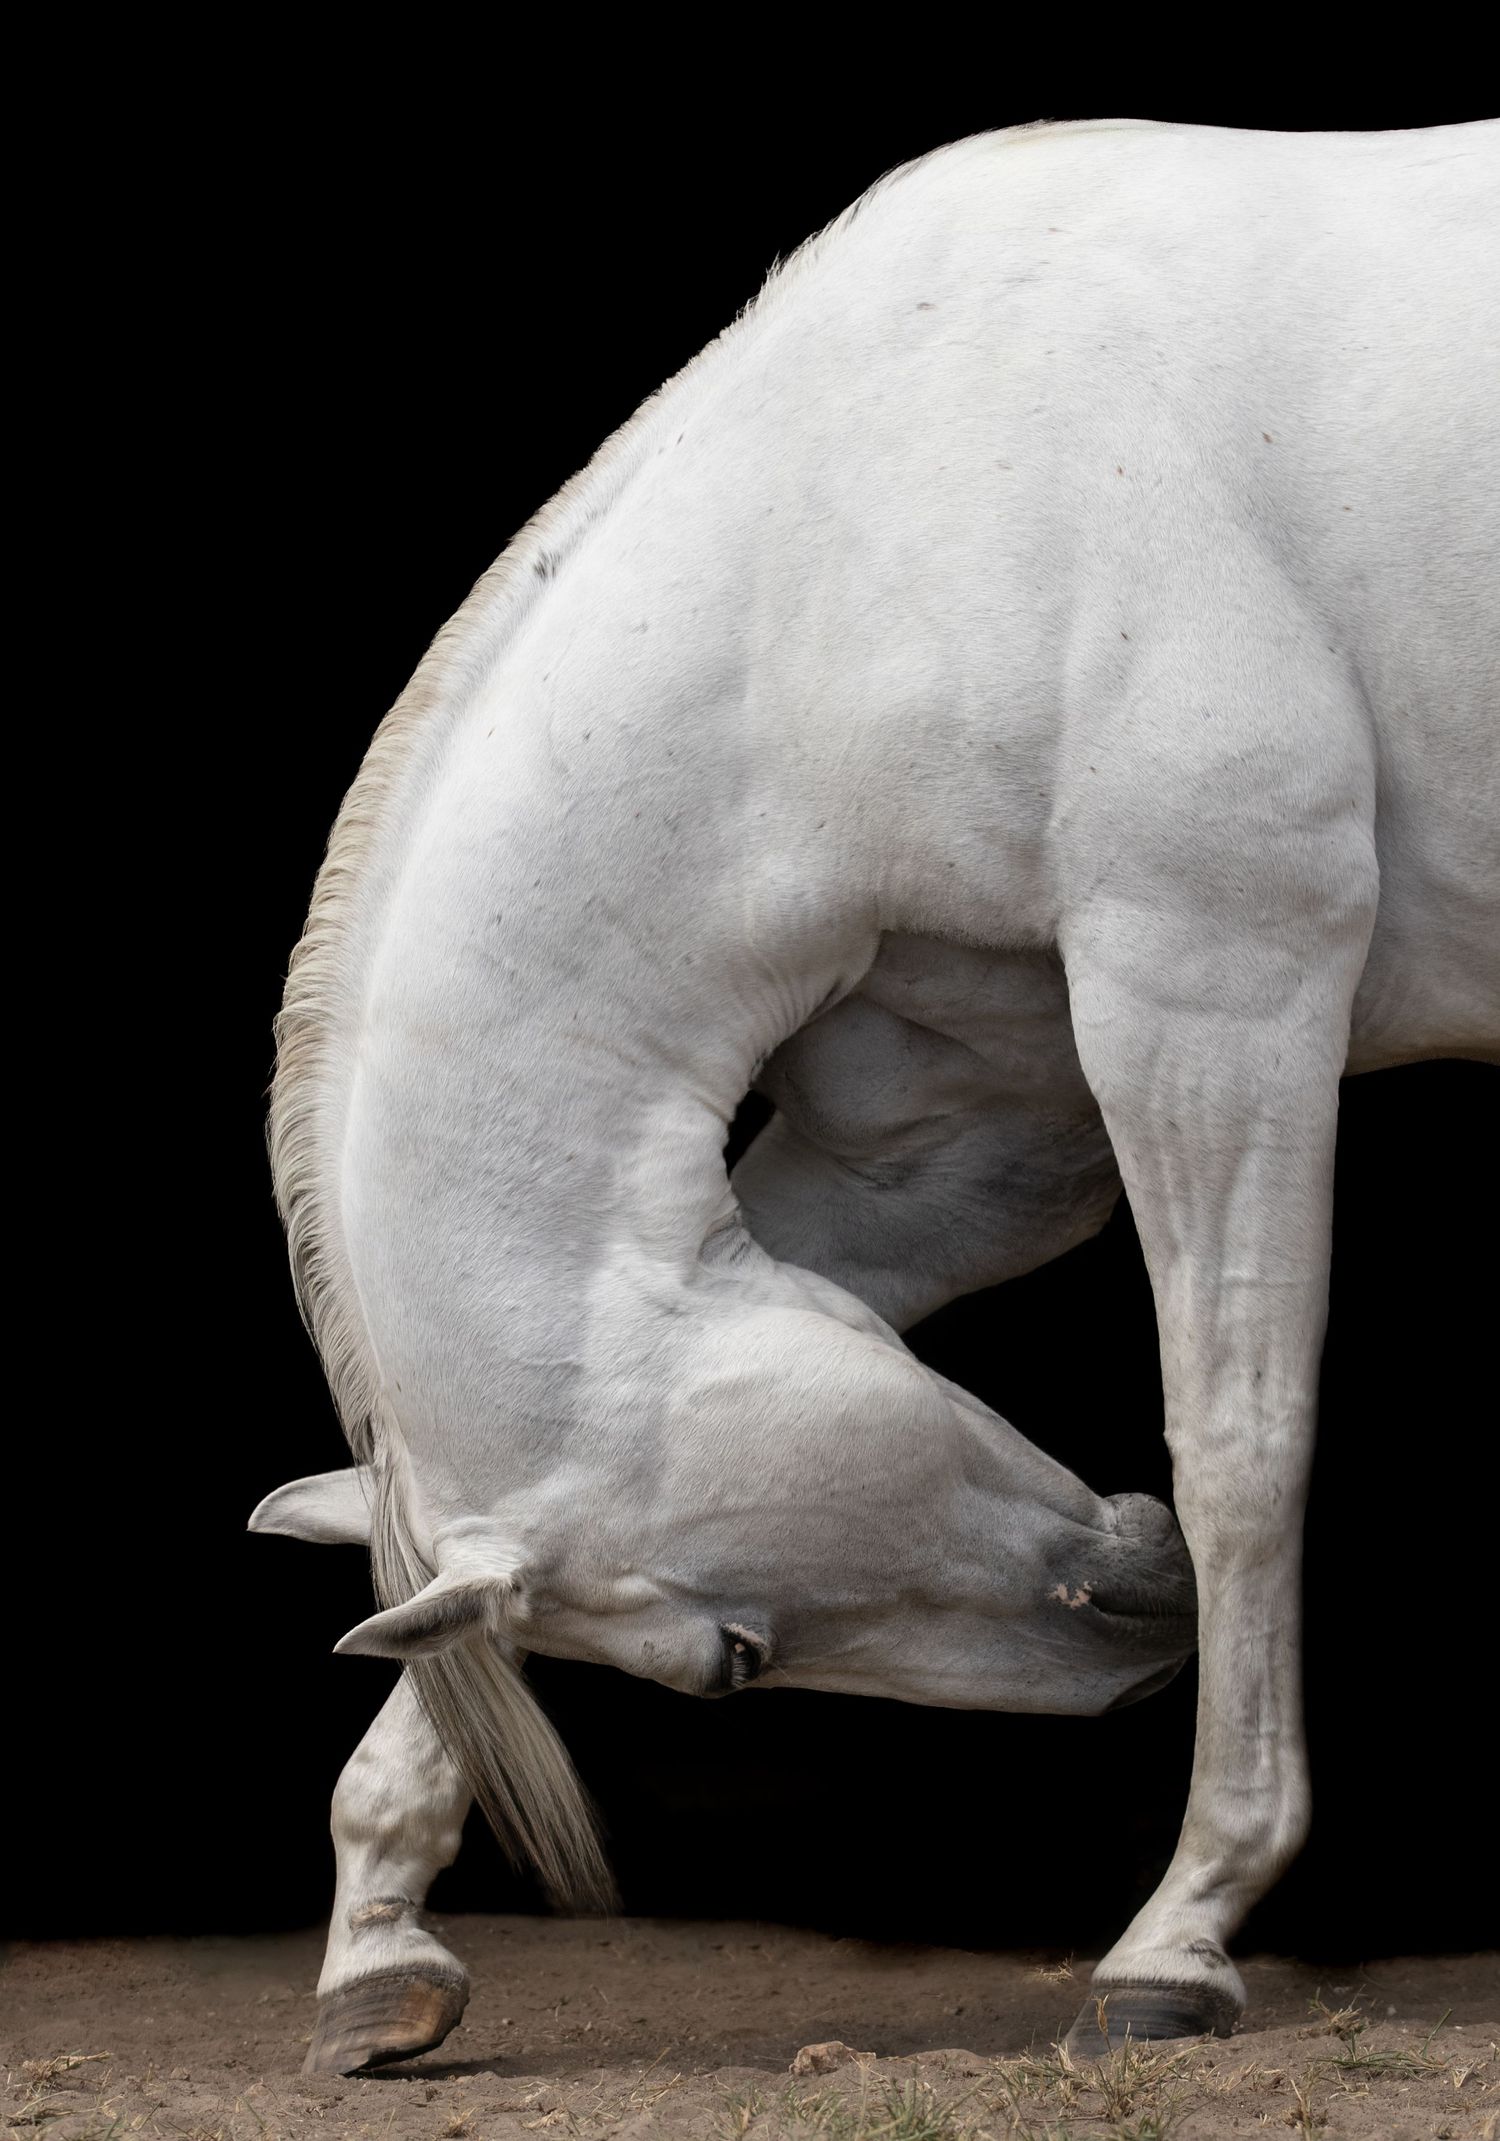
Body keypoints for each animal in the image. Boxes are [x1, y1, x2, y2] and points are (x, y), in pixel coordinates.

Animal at [250, 116, 1499, 2075]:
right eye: (739, 1663)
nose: (1134, 1613)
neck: (871, 529)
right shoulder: (952, 1143)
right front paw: (378, 1932)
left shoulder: (1216, 998)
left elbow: (1238, 1444)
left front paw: (1186, 1926)